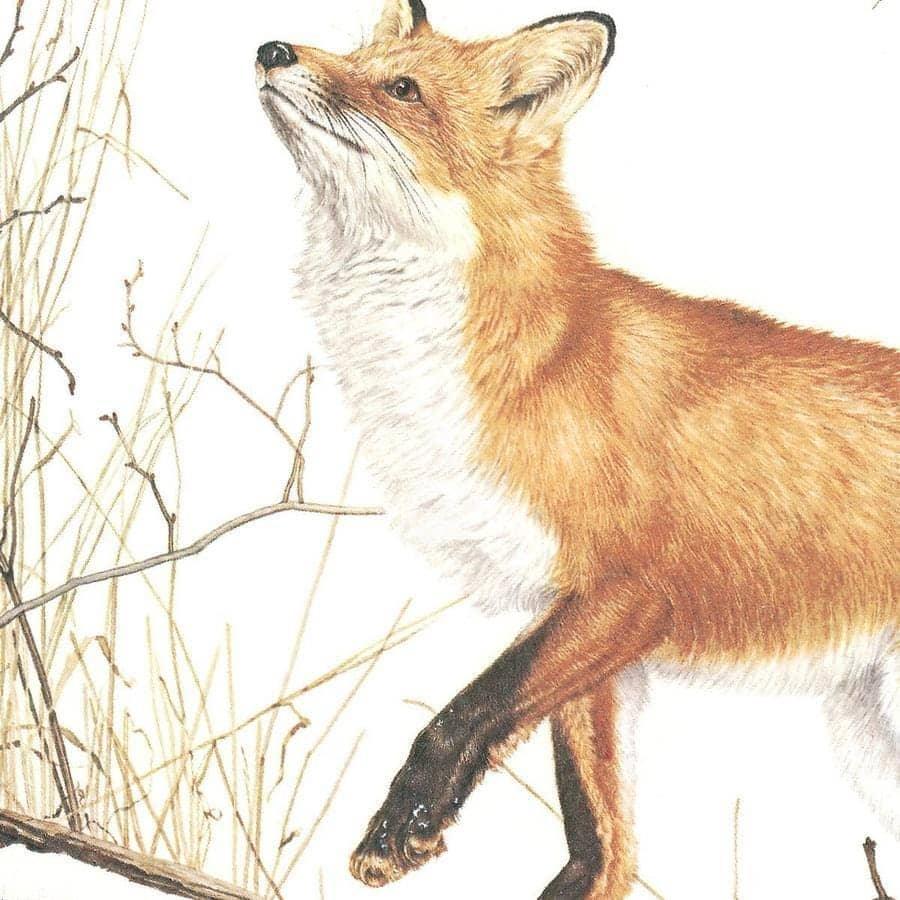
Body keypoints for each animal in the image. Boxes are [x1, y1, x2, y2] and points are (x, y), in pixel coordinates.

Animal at [256, 1, 899, 897]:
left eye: (401, 89)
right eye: (355, 57)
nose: (271, 49)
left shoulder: (628, 592)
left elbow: (465, 712)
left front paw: (399, 825)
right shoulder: (586, 632)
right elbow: (600, 840)